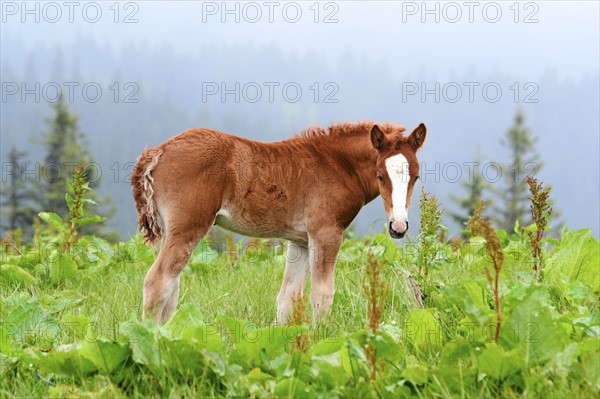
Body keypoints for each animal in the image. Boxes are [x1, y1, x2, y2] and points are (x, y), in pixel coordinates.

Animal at [130, 120, 426, 324]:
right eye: (380, 175)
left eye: (416, 177)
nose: (398, 227)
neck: (337, 165)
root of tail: (158, 151)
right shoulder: (326, 234)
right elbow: (322, 294)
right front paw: (321, 338)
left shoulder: (300, 242)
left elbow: (287, 298)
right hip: (189, 227)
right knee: (157, 282)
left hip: (173, 232)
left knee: (171, 285)